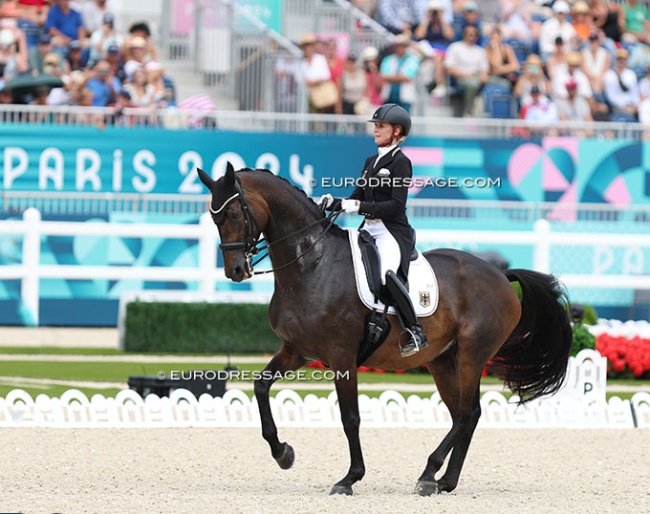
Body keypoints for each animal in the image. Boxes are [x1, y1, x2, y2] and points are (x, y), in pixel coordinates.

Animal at [195, 162, 568, 494]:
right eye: (214, 218)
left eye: (233, 214)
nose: (236, 271)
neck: (311, 264)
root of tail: (500, 275)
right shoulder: (296, 350)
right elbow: (260, 387)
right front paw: (283, 453)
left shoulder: (342, 357)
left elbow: (350, 418)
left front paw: (349, 479)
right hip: (443, 360)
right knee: (464, 414)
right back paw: (443, 481)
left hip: (472, 355)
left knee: (466, 414)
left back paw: (429, 474)